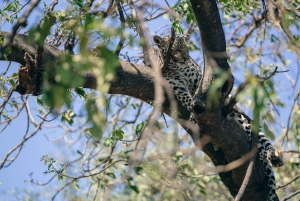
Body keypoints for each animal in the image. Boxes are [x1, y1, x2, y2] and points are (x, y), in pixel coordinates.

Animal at [155, 33, 284, 200]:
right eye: (175, 49)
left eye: (186, 47)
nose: (185, 58)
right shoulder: (177, 86)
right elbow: (189, 100)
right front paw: (193, 114)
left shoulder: (198, 80)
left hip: (242, 119)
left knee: (259, 139)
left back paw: (273, 155)